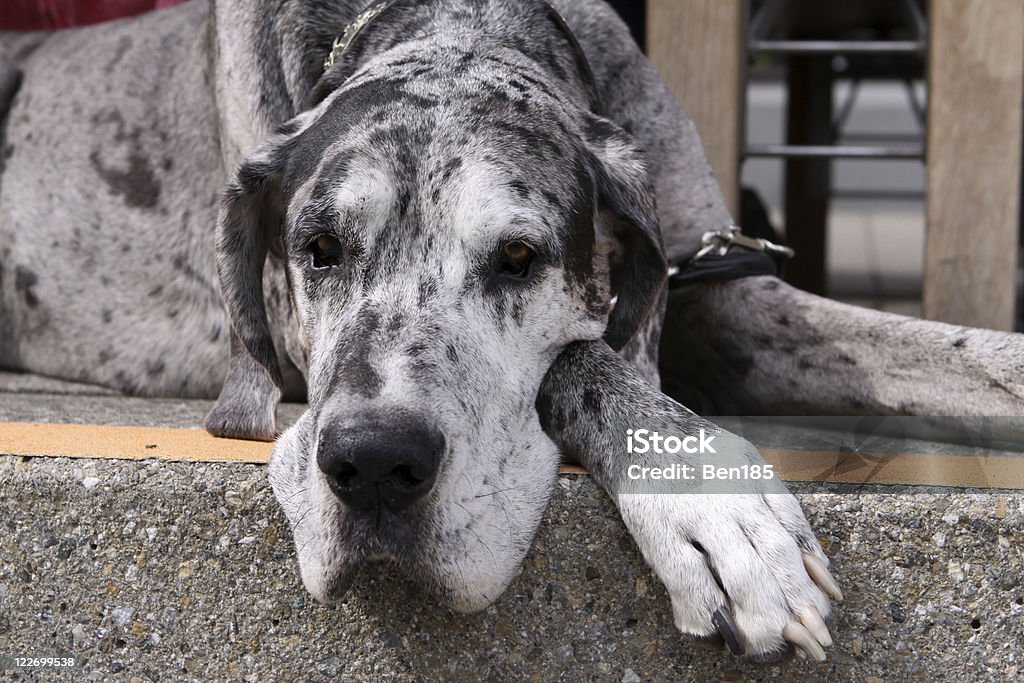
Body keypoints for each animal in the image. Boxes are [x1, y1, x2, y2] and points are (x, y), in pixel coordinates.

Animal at [2, 0, 1024, 663]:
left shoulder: (727, 295)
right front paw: (714, 510)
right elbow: (583, 357)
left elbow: (972, 356)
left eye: (519, 257)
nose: (375, 464)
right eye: (318, 248)